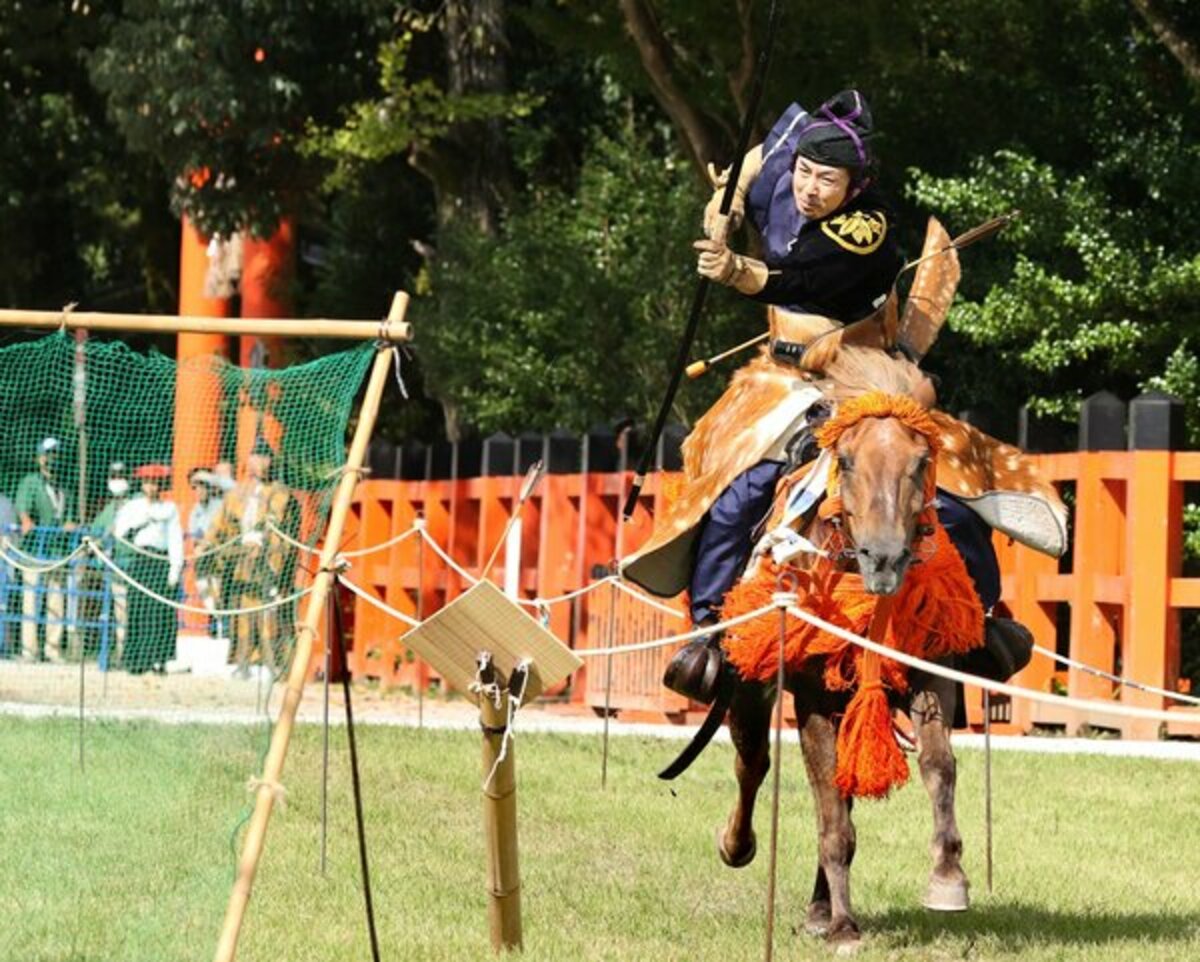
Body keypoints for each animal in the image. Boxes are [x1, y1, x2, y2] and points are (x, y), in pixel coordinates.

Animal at [710, 345, 974, 945]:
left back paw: (818, 905)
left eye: (919, 462)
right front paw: (845, 927)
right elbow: (830, 812)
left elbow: (938, 764)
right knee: (753, 762)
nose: (885, 558)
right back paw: (740, 847)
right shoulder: (811, 698)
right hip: (753, 687)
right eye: (847, 462)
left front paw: (948, 877)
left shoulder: (930, 674)